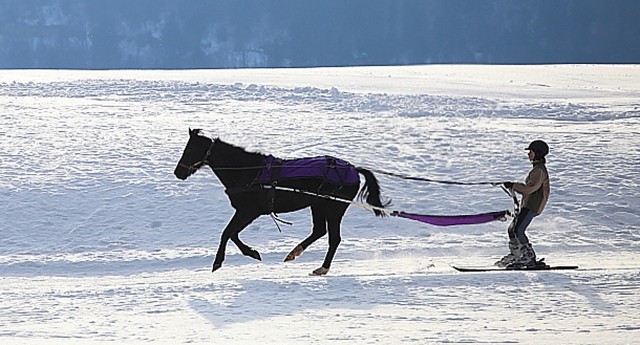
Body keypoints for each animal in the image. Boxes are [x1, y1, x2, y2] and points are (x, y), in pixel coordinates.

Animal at [172, 127, 388, 276]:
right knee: (319, 231)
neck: (249, 172)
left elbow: (227, 233)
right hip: (318, 204)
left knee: (334, 238)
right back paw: (294, 253)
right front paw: (252, 252)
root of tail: (353, 169)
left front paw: (219, 261)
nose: (178, 172)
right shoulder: (246, 211)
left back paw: (322, 268)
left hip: (334, 207)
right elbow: (232, 234)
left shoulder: (248, 211)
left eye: (189, 150)